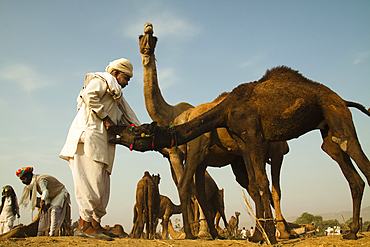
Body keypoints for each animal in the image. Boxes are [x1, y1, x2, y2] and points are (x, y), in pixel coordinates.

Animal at [112, 64, 370, 244]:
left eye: (138, 132)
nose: (114, 130)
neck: (226, 110)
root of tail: (342, 99)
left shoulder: (255, 138)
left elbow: (264, 185)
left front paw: (270, 236)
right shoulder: (244, 144)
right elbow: (256, 185)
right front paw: (259, 236)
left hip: (336, 113)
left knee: (358, 157)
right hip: (327, 131)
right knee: (347, 167)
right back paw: (352, 232)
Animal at [133, 22, 292, 239]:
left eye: (154, 38)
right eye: (140, 37)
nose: (148, 28)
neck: (171, 115)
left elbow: (192, 189)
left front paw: (200, 231)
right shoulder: (174, 154)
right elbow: (188, 187)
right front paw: (195, 231)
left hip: (276, 151)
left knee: (276, 188)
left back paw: (284, 231)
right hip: (239, 161)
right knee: (254, 186)